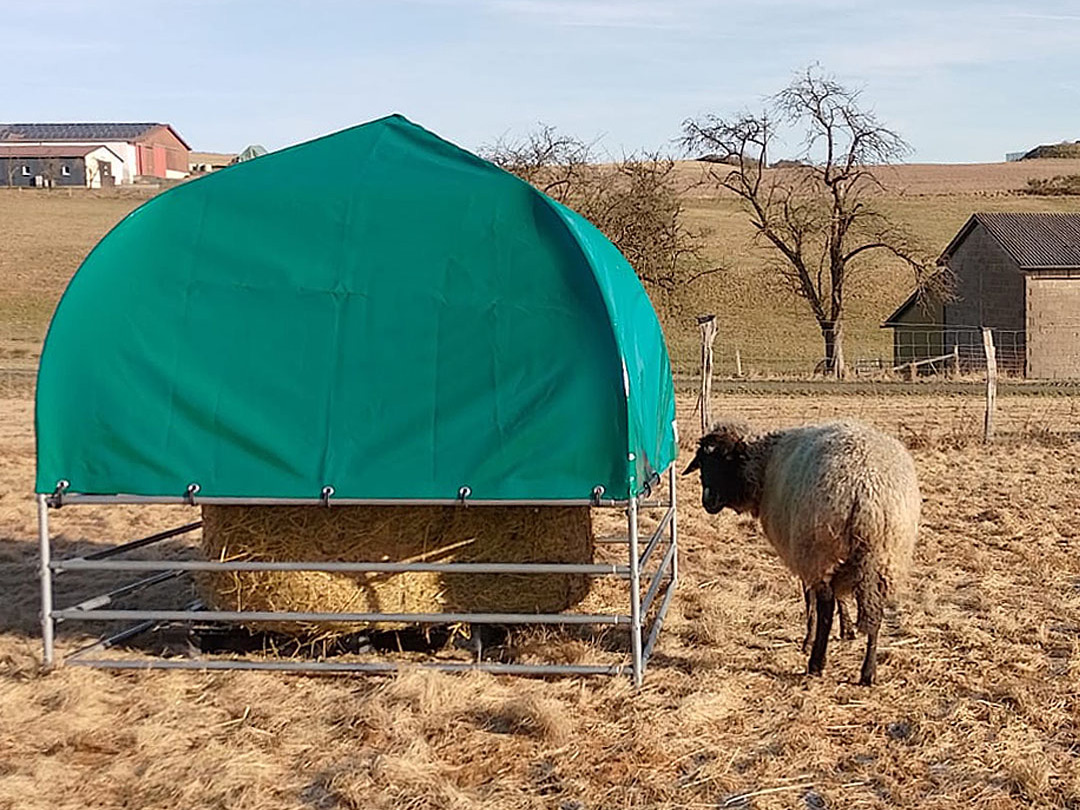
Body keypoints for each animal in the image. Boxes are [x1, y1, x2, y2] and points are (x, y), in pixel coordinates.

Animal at [682, 419, 920, 685]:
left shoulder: (801, 553)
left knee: (825, 607)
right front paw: (847, 630)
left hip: (818, 549)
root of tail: (867, 493)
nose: (708, 501)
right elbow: (840, 597)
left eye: (724, 460)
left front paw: (809, 640)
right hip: (884, 556)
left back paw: (816, 662)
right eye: (703, 462)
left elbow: (811, 599)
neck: (763, 465)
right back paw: (868, 672)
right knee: (875, 612)